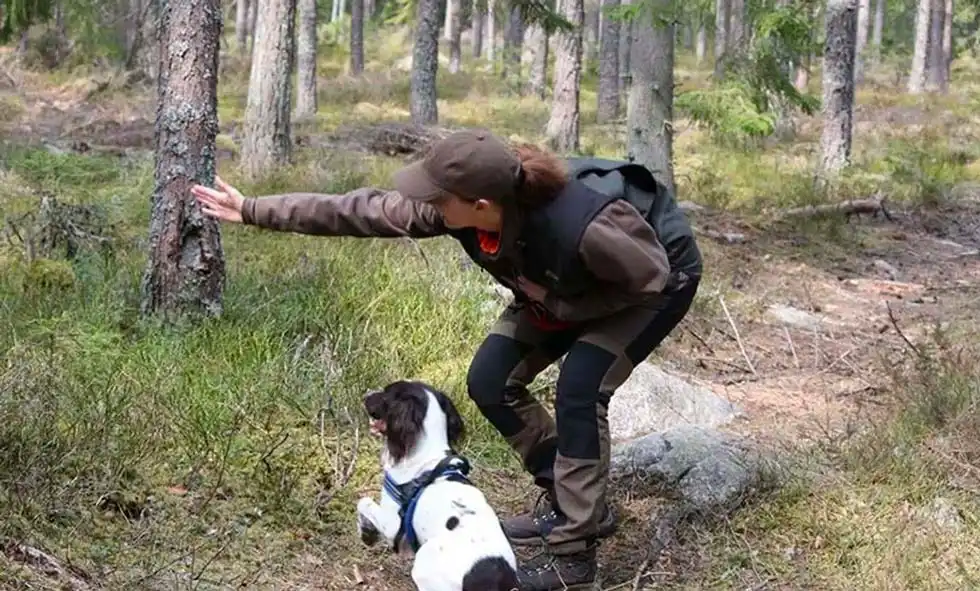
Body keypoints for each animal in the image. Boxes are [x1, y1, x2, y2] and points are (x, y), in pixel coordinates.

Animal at [354, 382, 520, 591]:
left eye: (386, 393)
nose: (365, 395)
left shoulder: (393, 524)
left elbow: (363, 501)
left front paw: (367, 534)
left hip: (424, 564)